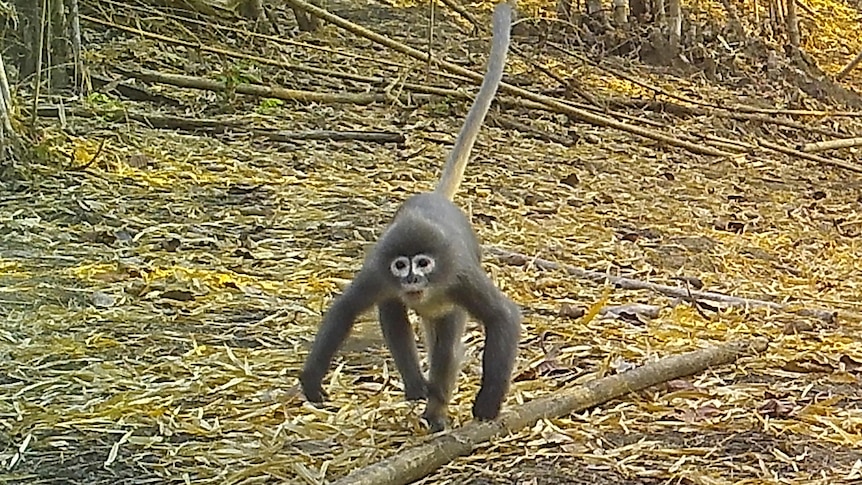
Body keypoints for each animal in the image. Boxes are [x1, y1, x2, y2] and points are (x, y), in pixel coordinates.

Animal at [300, 0, 524, 432]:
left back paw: (435, 408)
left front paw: (487, 404)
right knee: (393, 314)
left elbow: (502, 316)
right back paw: (417, 387)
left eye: (423, 263)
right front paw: (312, 380)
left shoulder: (458, 275)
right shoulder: (378, 271)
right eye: (402, 265)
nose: (412, 279)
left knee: (446, 349)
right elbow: (345, 310)